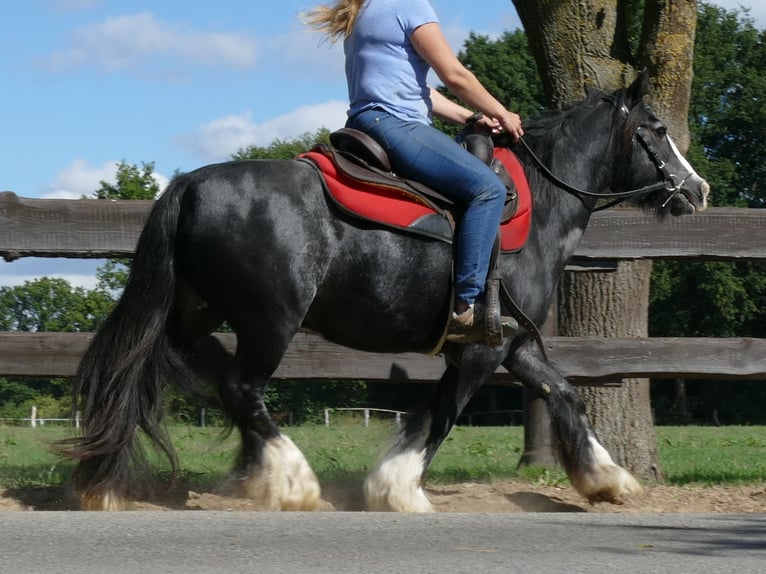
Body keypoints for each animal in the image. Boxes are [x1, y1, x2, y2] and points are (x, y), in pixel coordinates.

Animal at [63, 71, 712, 512]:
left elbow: (564, 393)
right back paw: (292, 480)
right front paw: (398, 488)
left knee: (184, 377)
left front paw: (606, 478)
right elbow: (443, 414)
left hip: (196, 316)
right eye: (656, 131)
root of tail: (191, 184)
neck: (541, 208)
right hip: (270, 321)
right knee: (242, 390)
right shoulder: (481, 349)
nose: (698, 189)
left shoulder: (518, 345)